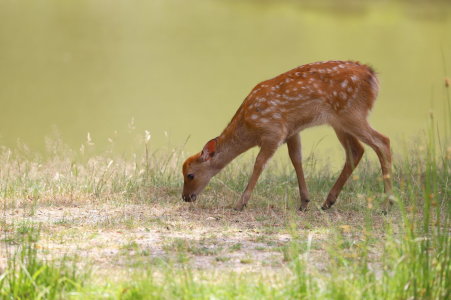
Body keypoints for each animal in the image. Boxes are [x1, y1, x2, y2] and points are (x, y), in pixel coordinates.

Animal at [182, 60, 394, 211]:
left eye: (190, 175)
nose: (185, 197)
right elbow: (296, 159)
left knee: (383, 142)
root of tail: (372, 76)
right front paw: (304, 202)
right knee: (357, 150)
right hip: (340, 121)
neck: (249, 126)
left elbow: (259, 163)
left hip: (352, 113)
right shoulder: (292, 131)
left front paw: (240, 203)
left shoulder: (273, 131)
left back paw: (387, 204)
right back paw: (328, 201)